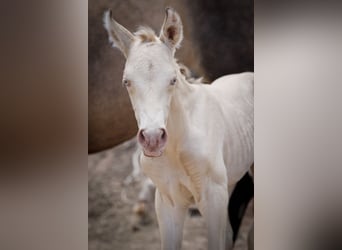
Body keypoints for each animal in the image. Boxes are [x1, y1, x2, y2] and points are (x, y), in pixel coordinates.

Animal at [103, 7, 252, 250]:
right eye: (126, 81)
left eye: (173, 79)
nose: (153, 139)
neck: (176, 148)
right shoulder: (168, 202)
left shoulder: (213, 199)